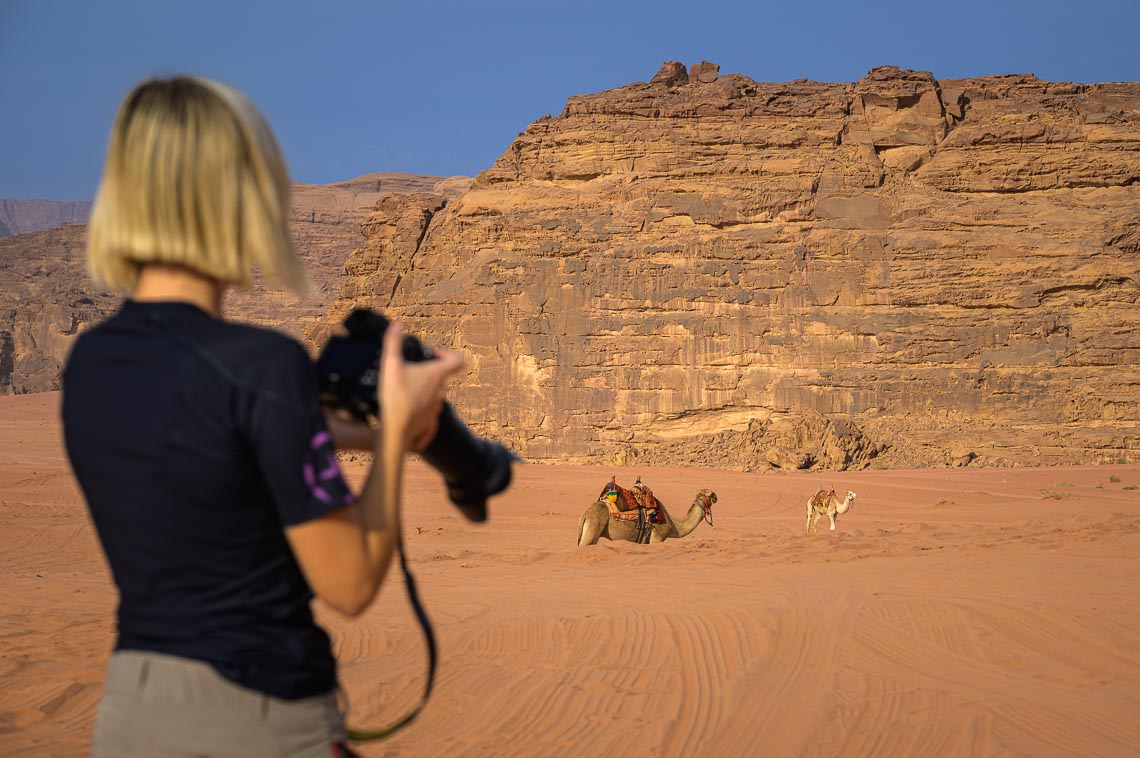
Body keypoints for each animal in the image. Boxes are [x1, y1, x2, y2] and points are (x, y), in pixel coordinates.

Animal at [574, 487, 715, 547]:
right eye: (712, 494)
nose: (717, 496)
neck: (673, 525)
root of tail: (585, 514)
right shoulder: (657, 537)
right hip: (593, 527)